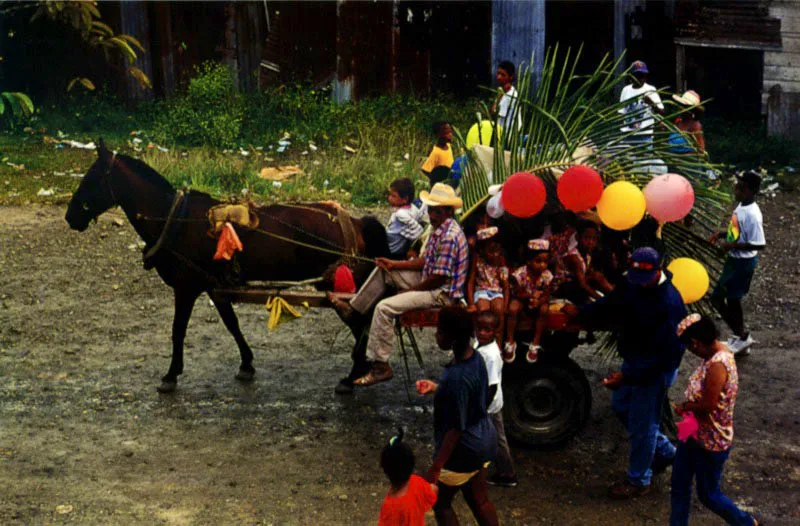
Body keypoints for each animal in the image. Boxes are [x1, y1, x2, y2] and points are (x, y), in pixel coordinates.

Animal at [67, 140, 386, 392]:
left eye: (91, 179)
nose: (71, 216)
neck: (174, 218)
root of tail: (354, 221)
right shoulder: (213, 286)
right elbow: (231, 323)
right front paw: (246, 364)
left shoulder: (186, 288)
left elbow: (177, 329)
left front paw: (171, 374)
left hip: (336, 286)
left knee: (361, 325)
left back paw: (353, 376)